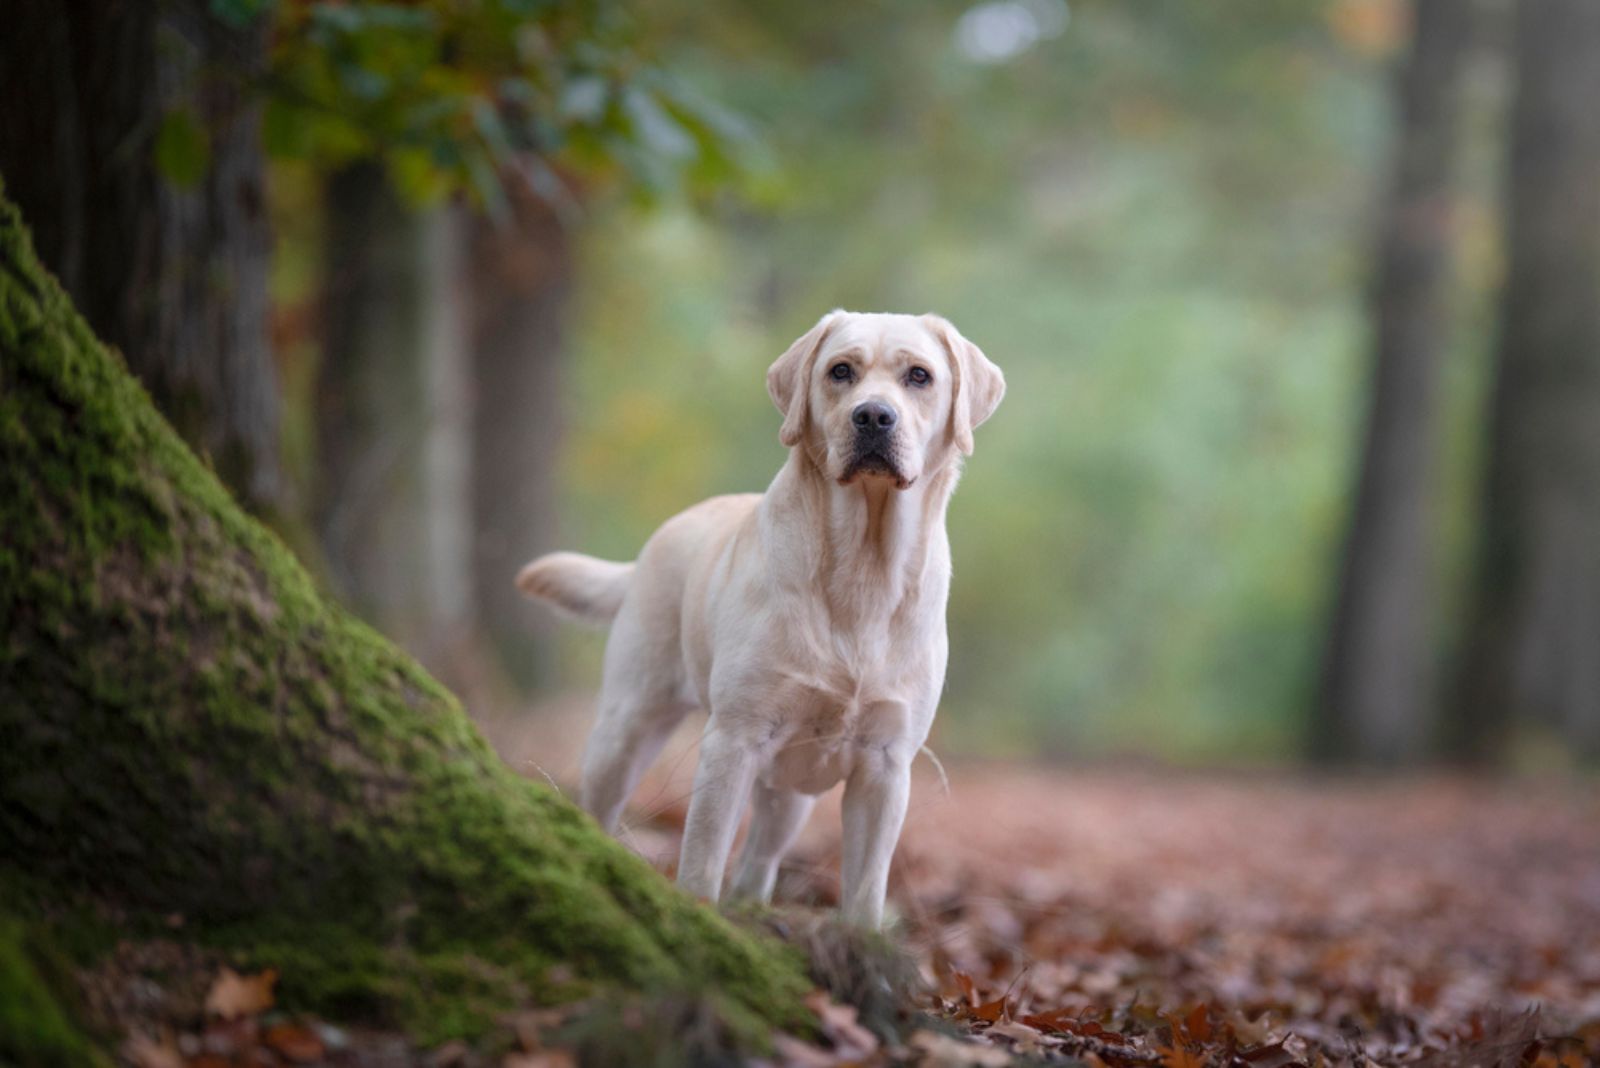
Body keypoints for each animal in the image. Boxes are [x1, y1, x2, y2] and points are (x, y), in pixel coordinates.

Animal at [518, 308, 1004, 927]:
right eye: (840, 371)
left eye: (919, 376)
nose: (873, 415)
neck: (864, 570)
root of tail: (655, 541)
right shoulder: (734, 740)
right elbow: (703, 859)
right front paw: (698, 917)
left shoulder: (887, 764)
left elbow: (866, 888)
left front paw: (861, 944)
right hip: (626, 725)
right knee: (600, 804)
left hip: (790, 791)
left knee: (759, 862)